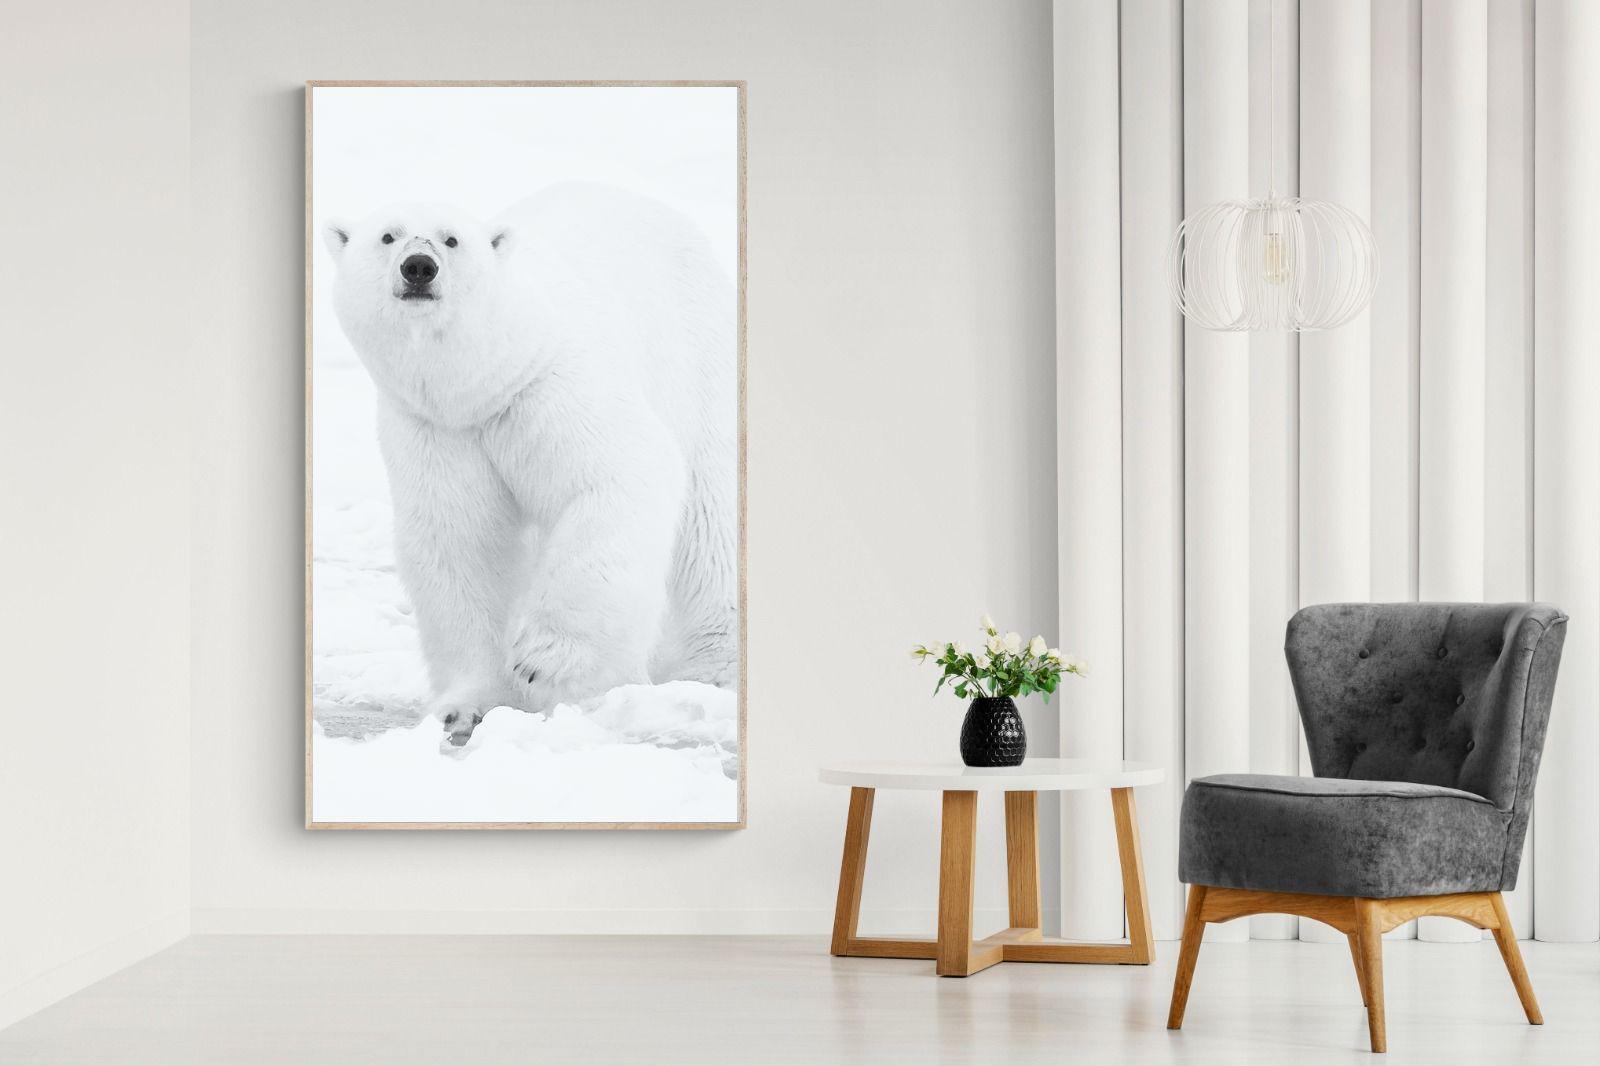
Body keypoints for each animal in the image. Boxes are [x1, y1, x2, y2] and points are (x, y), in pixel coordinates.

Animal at [322, 182, 738, 746]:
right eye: (388, 236)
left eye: (451, 239)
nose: (418, 268)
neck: (485, 383)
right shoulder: (438, 429)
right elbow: (460, 541)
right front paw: (465, 707)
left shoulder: (548, 386)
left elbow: (617, 473)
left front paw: (545, 660)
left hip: (698, 357)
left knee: (711, 515)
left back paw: (713, 668)